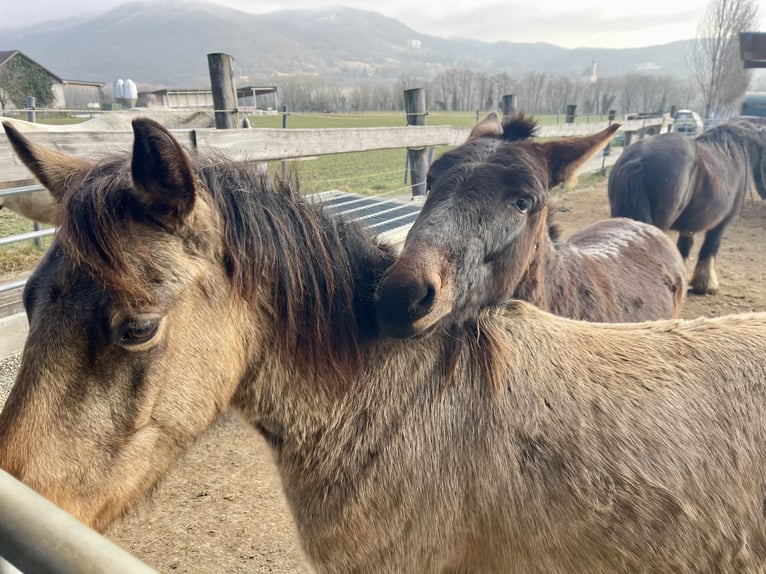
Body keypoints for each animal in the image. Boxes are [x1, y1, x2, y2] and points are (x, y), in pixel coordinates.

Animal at [608, 116, 766, 295]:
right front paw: (706, 284)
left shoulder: (690, 224)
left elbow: (684, 247)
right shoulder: (723, 223)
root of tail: (638, 161)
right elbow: (710, 248)